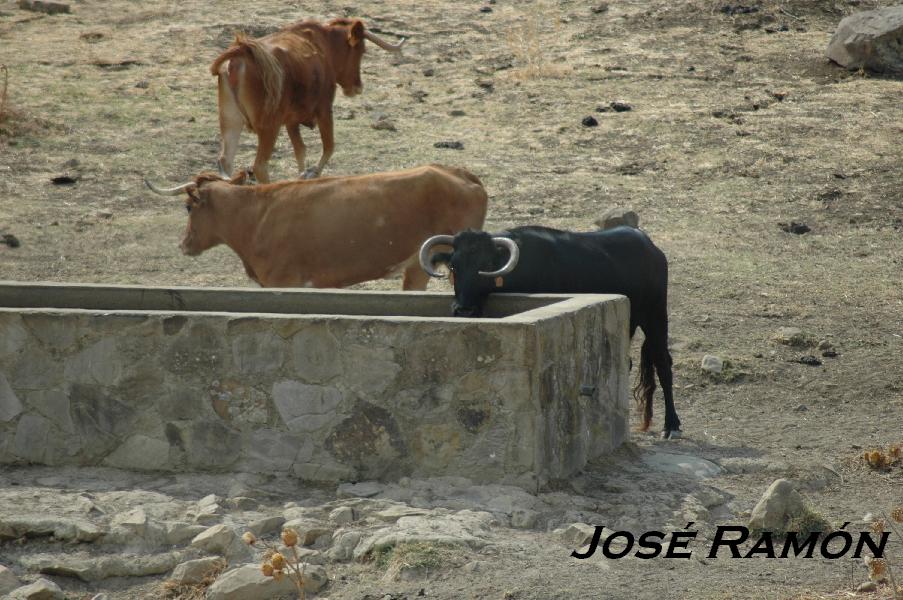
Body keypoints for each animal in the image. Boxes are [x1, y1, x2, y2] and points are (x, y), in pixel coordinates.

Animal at [143, 165, 488, 290]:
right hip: (418, 267)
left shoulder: (285, 282)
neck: (257, 216)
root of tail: (461, 174)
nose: (184, 244)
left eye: (188, 207)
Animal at [212, 18, 402, 183]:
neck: (324, 46)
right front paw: (311, 173)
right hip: (269, 127)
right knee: (260, 166)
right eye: (361, 51)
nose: (357, 87)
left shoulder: (291, 121)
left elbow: (300, 151)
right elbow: (329, 146)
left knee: (226, 161)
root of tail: (242, 52)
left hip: (231, 121)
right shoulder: (324, 109)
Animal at [420, 224, 680, 436]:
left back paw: (672, 425)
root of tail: (650, 246)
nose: (463, 310)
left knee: (663, 363)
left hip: (656, 316)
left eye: (486, 265)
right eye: (454, 266)